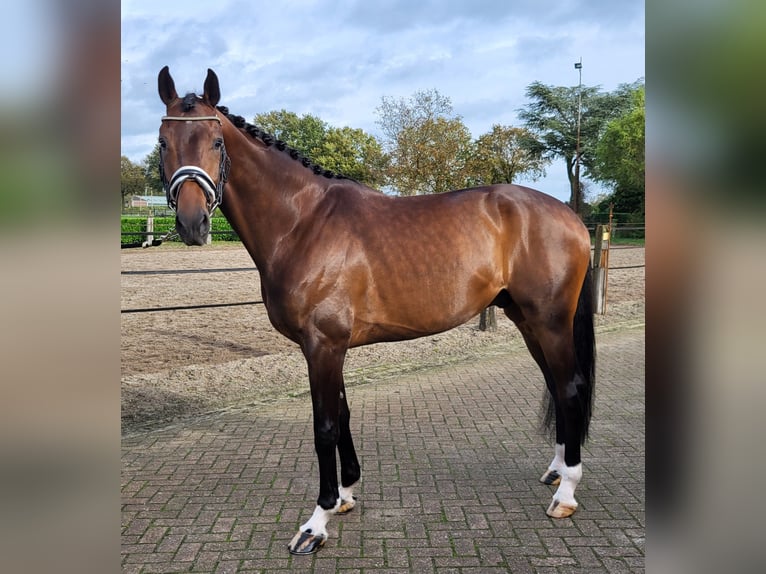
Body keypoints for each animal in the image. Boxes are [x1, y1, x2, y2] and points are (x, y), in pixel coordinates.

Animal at [158, 67, 600, 560]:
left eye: (217, 142)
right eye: (163, 142)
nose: (192, 224)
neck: (302, 222)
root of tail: (570, 216)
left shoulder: (323, 345)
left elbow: (325, 426)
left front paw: (317, 521)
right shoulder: (329, 346)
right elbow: (344, 415)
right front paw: (346, 494)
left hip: (551, 322)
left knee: (569, 388)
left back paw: (566, 493)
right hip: (526, 320)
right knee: (556, 386)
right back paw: (557, 471)